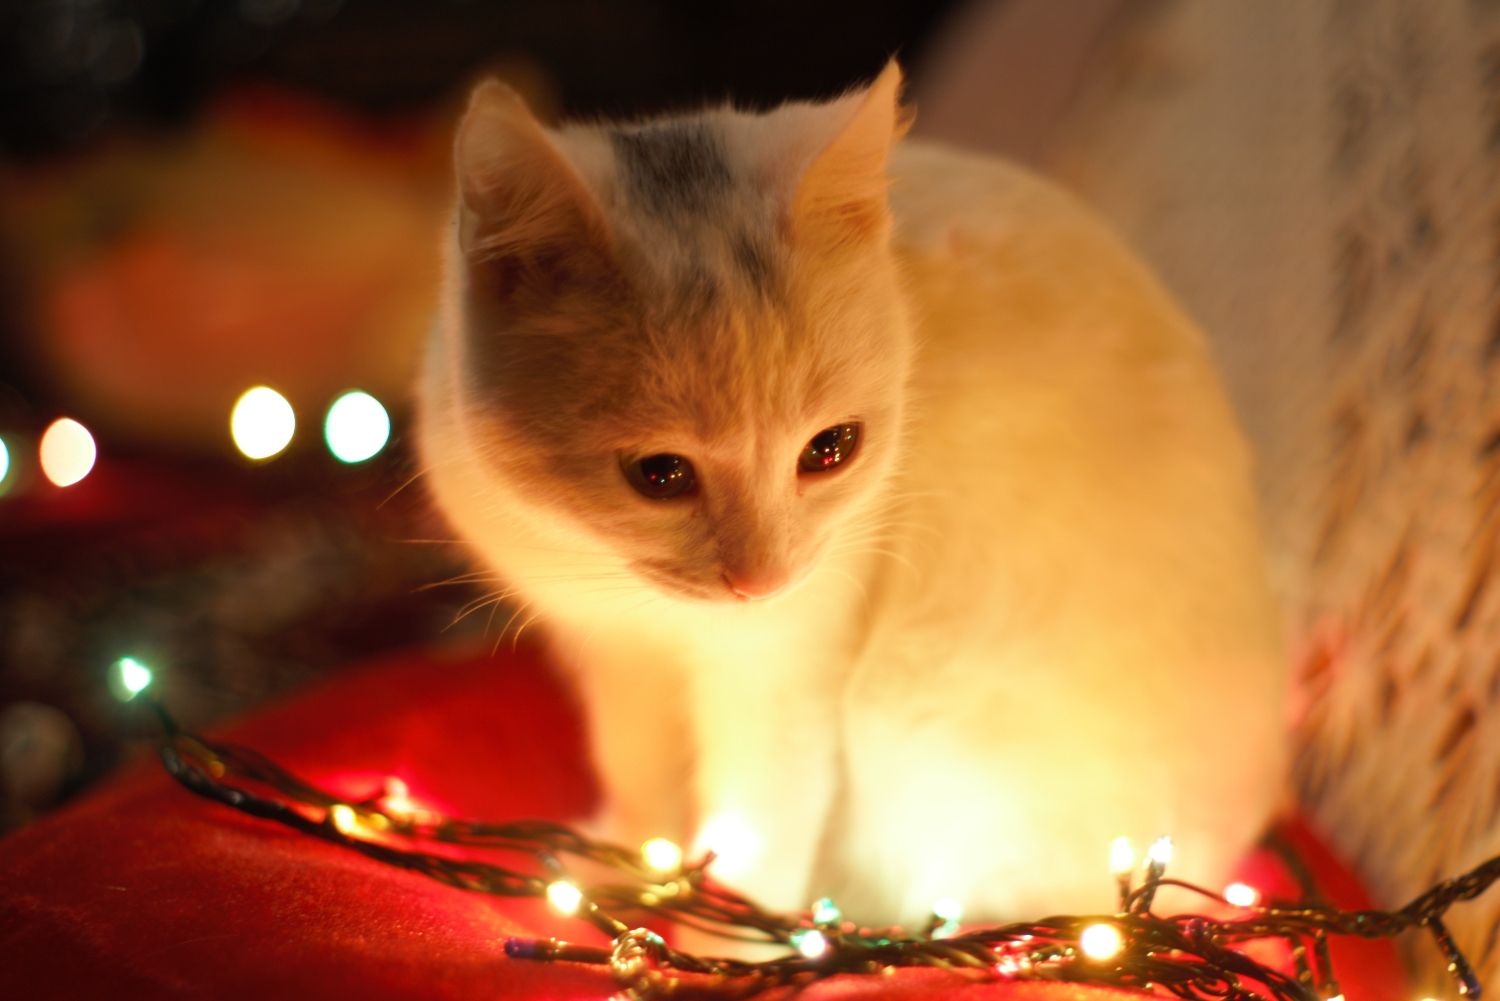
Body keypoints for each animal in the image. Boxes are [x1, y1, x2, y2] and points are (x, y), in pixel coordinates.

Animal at [420, 60, 1290, 924]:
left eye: (831, 450)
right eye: (658, 473)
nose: (760, 580)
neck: (643, 606)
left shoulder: (785, 668)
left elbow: (758, 829)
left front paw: (727, 927)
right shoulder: (614, 656)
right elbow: (636, 769)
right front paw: (627, 859)